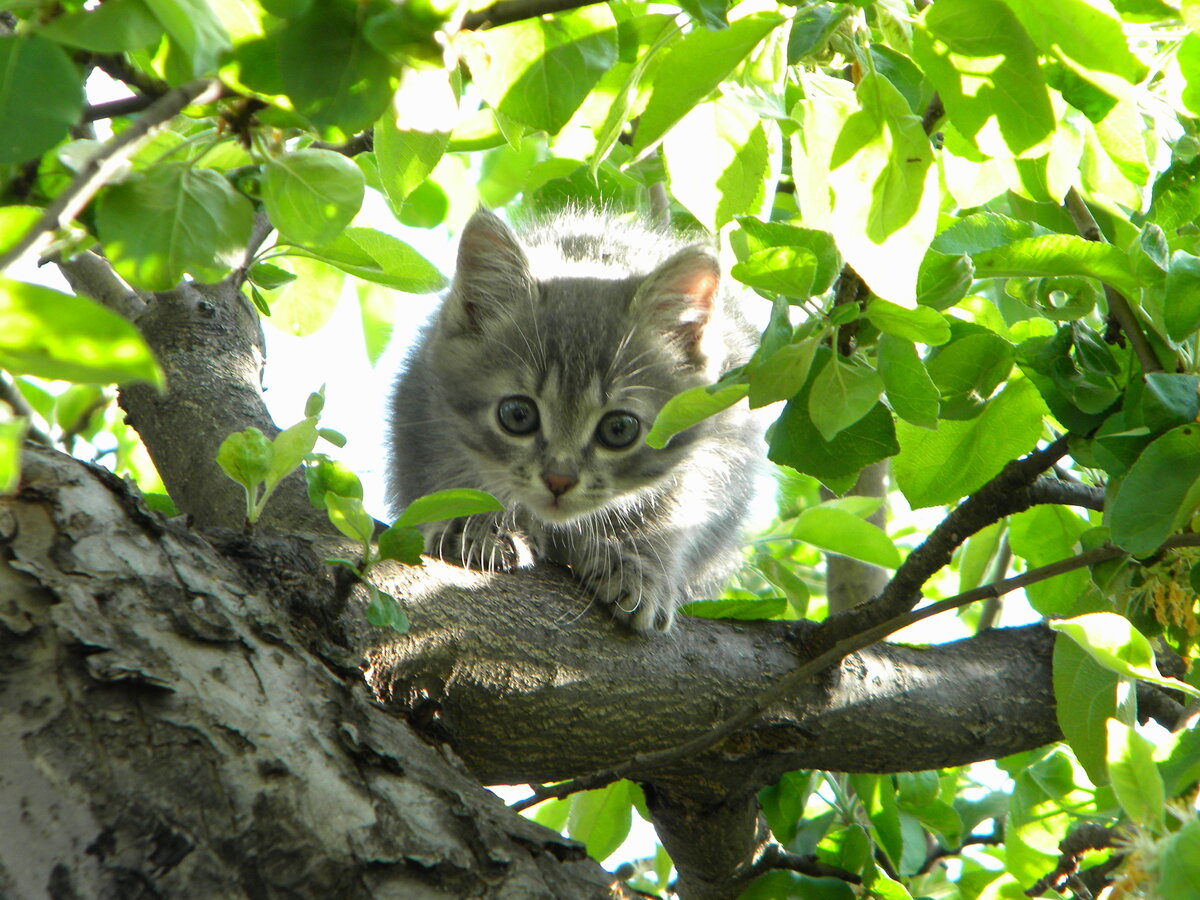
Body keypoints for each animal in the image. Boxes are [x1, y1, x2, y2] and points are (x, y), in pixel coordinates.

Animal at [384, 208, 758, 633]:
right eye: (517, 415)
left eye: (619, 429)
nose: (558, 480)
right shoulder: (420, 402)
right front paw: (476, 520)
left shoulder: (722, 446)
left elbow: (678, 508)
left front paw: (640, 563)